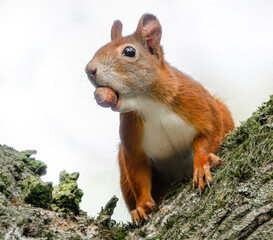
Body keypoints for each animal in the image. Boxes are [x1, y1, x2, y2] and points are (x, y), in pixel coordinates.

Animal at [85, 13, 234, 225]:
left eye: (129, 51)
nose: (89, 70)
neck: (147, 103)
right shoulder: (132, 142)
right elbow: (138, 174)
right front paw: (142, 206)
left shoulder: (198, 103)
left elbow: (209, 133)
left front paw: (203, 166)